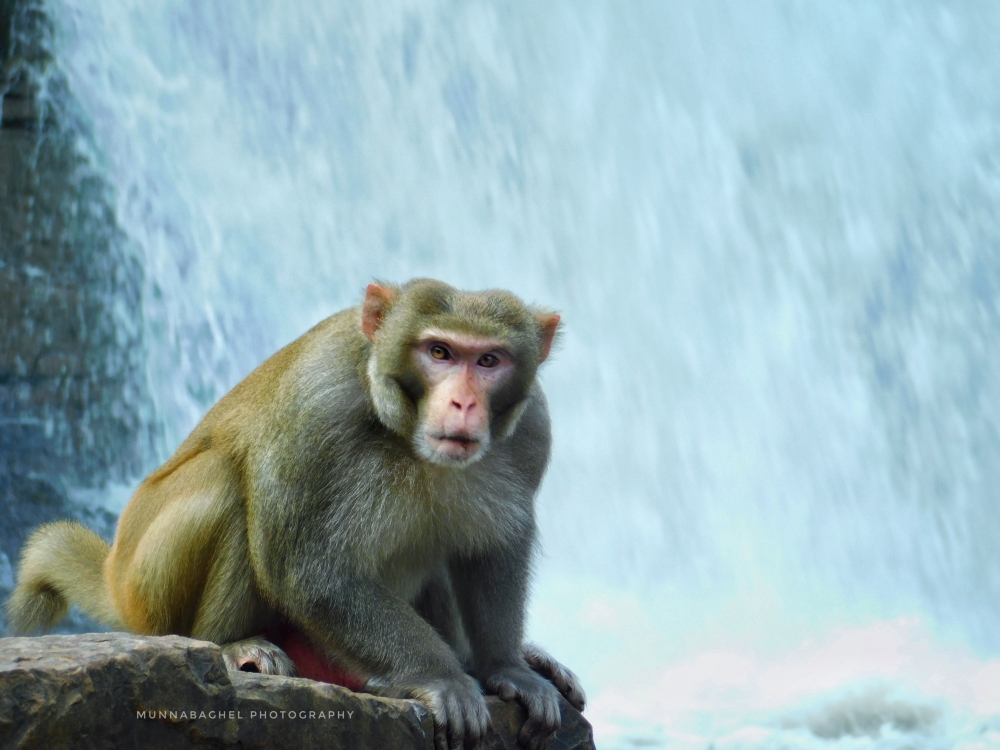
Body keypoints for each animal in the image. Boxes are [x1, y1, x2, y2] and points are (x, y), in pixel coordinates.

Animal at [6, 278, 586, 750]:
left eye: (488, 361)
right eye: (439, 351)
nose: (464, 404)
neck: (404, 435)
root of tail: (115, 575)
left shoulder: (531, 428)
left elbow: (492, 551)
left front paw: (505, 666)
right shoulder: (315, 408)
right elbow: (303, 567)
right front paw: (440, 676)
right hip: (149, 589)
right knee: (230, 482)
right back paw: (231, 644)